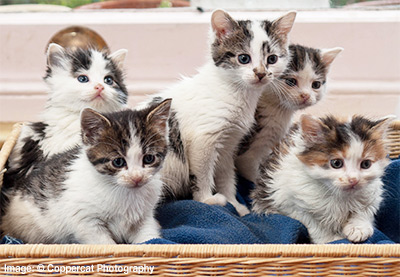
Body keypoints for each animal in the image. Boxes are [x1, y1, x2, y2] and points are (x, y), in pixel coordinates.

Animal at [0, 99, 171, 244]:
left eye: (148, 158)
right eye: (118, 162)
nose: (137, 178)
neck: (124, 191)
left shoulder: (146, 215)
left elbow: (149, 237)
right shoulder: (86, 219)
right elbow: (104, 243)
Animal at [138, 9, 296, 216]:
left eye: (272, 59)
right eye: (243, 58)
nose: (261, 74)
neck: (236, 93)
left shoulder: (228, 143)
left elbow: (225, 174)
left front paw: (234, 203)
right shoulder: (202, 140)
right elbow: (202, 173)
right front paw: (207, 200)